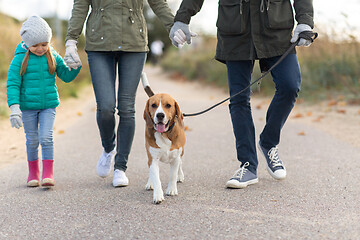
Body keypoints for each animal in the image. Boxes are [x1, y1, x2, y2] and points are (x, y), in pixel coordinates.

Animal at [141, 72, 186, 203]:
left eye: (168, 105)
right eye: (153, 105)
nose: (160, 115)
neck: (164, 134)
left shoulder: (176, 157)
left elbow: (173, 175)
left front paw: (171, 190)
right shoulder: (153, 159)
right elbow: (156, 178)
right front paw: (158, 195)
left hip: (182, 151)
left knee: (180, 163)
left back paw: (180, 175)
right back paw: (150, 183)